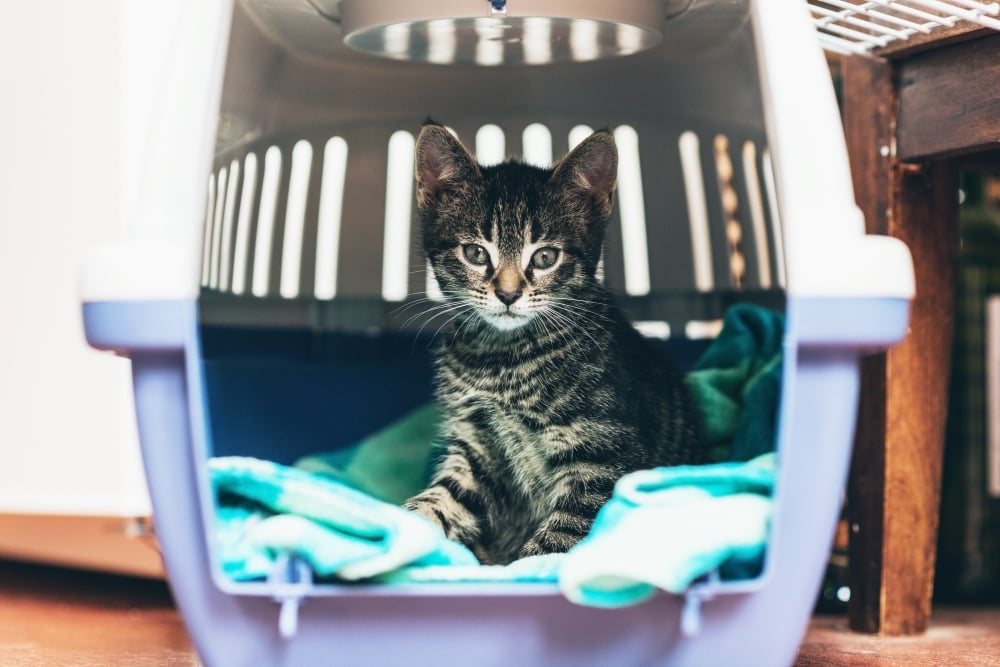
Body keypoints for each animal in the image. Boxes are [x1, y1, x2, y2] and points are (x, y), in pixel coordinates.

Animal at [402, 121, 700, 564]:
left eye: (544, 258)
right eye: (475, 253)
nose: (508, 294)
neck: (502, 358)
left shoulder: (603, 458)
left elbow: (557, 542)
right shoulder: (477, 449)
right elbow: (445, 497)